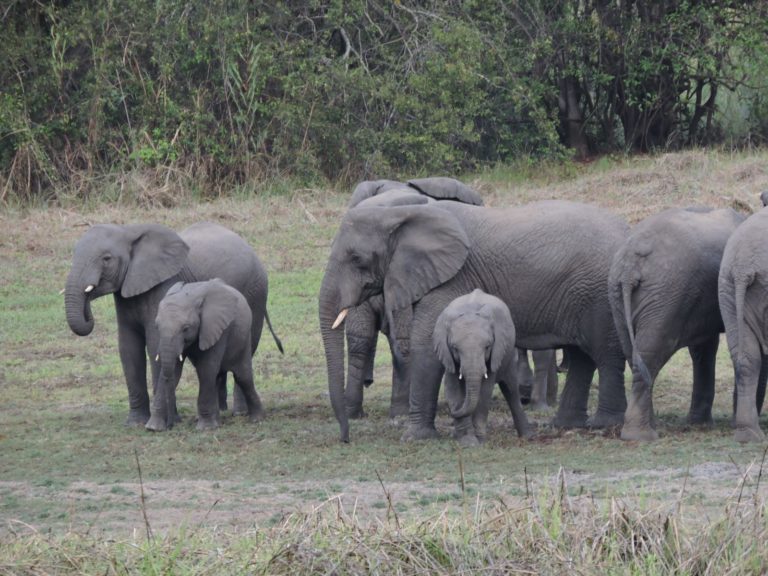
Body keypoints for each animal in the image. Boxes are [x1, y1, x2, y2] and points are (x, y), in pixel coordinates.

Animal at [148, 279, 265, 431]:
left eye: (186, 328)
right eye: (156, 327)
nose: (171, 425)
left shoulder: (217, 328)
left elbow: (206, 369)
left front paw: (204, 428)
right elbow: (174, 371)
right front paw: (153, 428)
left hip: (244, 337)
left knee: (242, 377)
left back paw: (257, 419)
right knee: (216, 378)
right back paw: (217, 423)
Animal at [433, 289, 531, 446]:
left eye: (488, 346)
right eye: (455, 348)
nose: (452, 410)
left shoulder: (495, 352)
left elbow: (484, 392)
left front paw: (479, 440)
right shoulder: (447, 355)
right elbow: (453, 388)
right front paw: (467, 441)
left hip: (509, 354)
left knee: (511, 390)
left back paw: (527, 436)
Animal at [609, 207, 746, 441]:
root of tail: (630, 263)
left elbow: (703, 349)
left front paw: (699, 424)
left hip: (620, 294)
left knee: (634, 354)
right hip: (665, 295)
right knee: (653, 351)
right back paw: (642, 435)